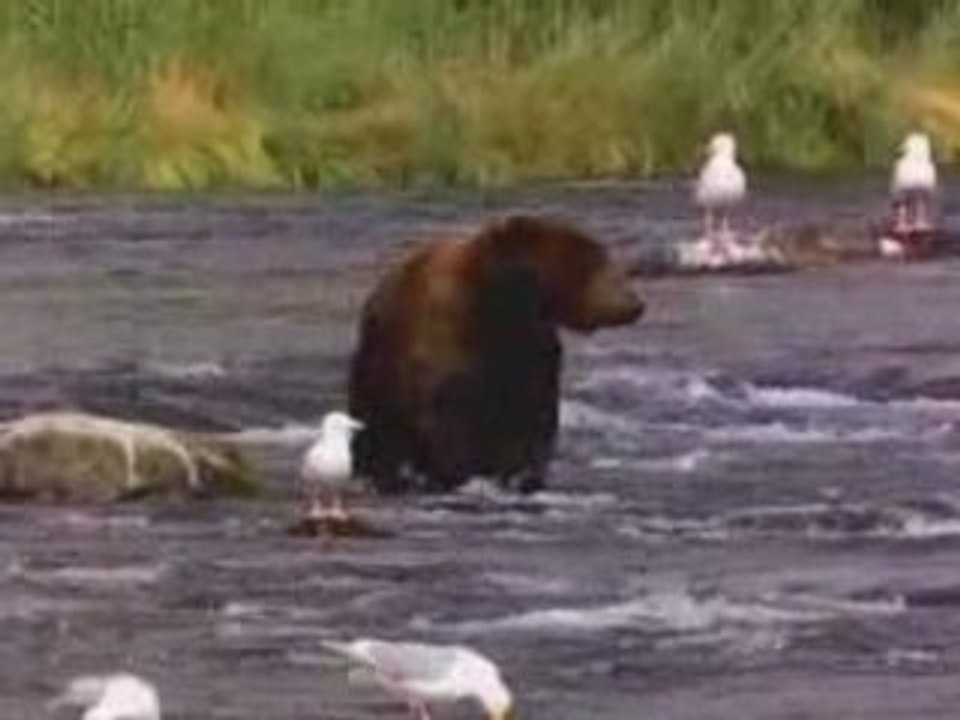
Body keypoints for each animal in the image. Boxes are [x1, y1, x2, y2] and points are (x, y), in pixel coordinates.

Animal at [348, 214, 645, 494]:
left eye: (603, 258)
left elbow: (531, 418)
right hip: (378, 368)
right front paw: (462, 476)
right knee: (378, 433)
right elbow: (449, 422)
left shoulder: (530, 350)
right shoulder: (450, 345)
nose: (635, 304)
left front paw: (522, 477)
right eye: (594, 261)